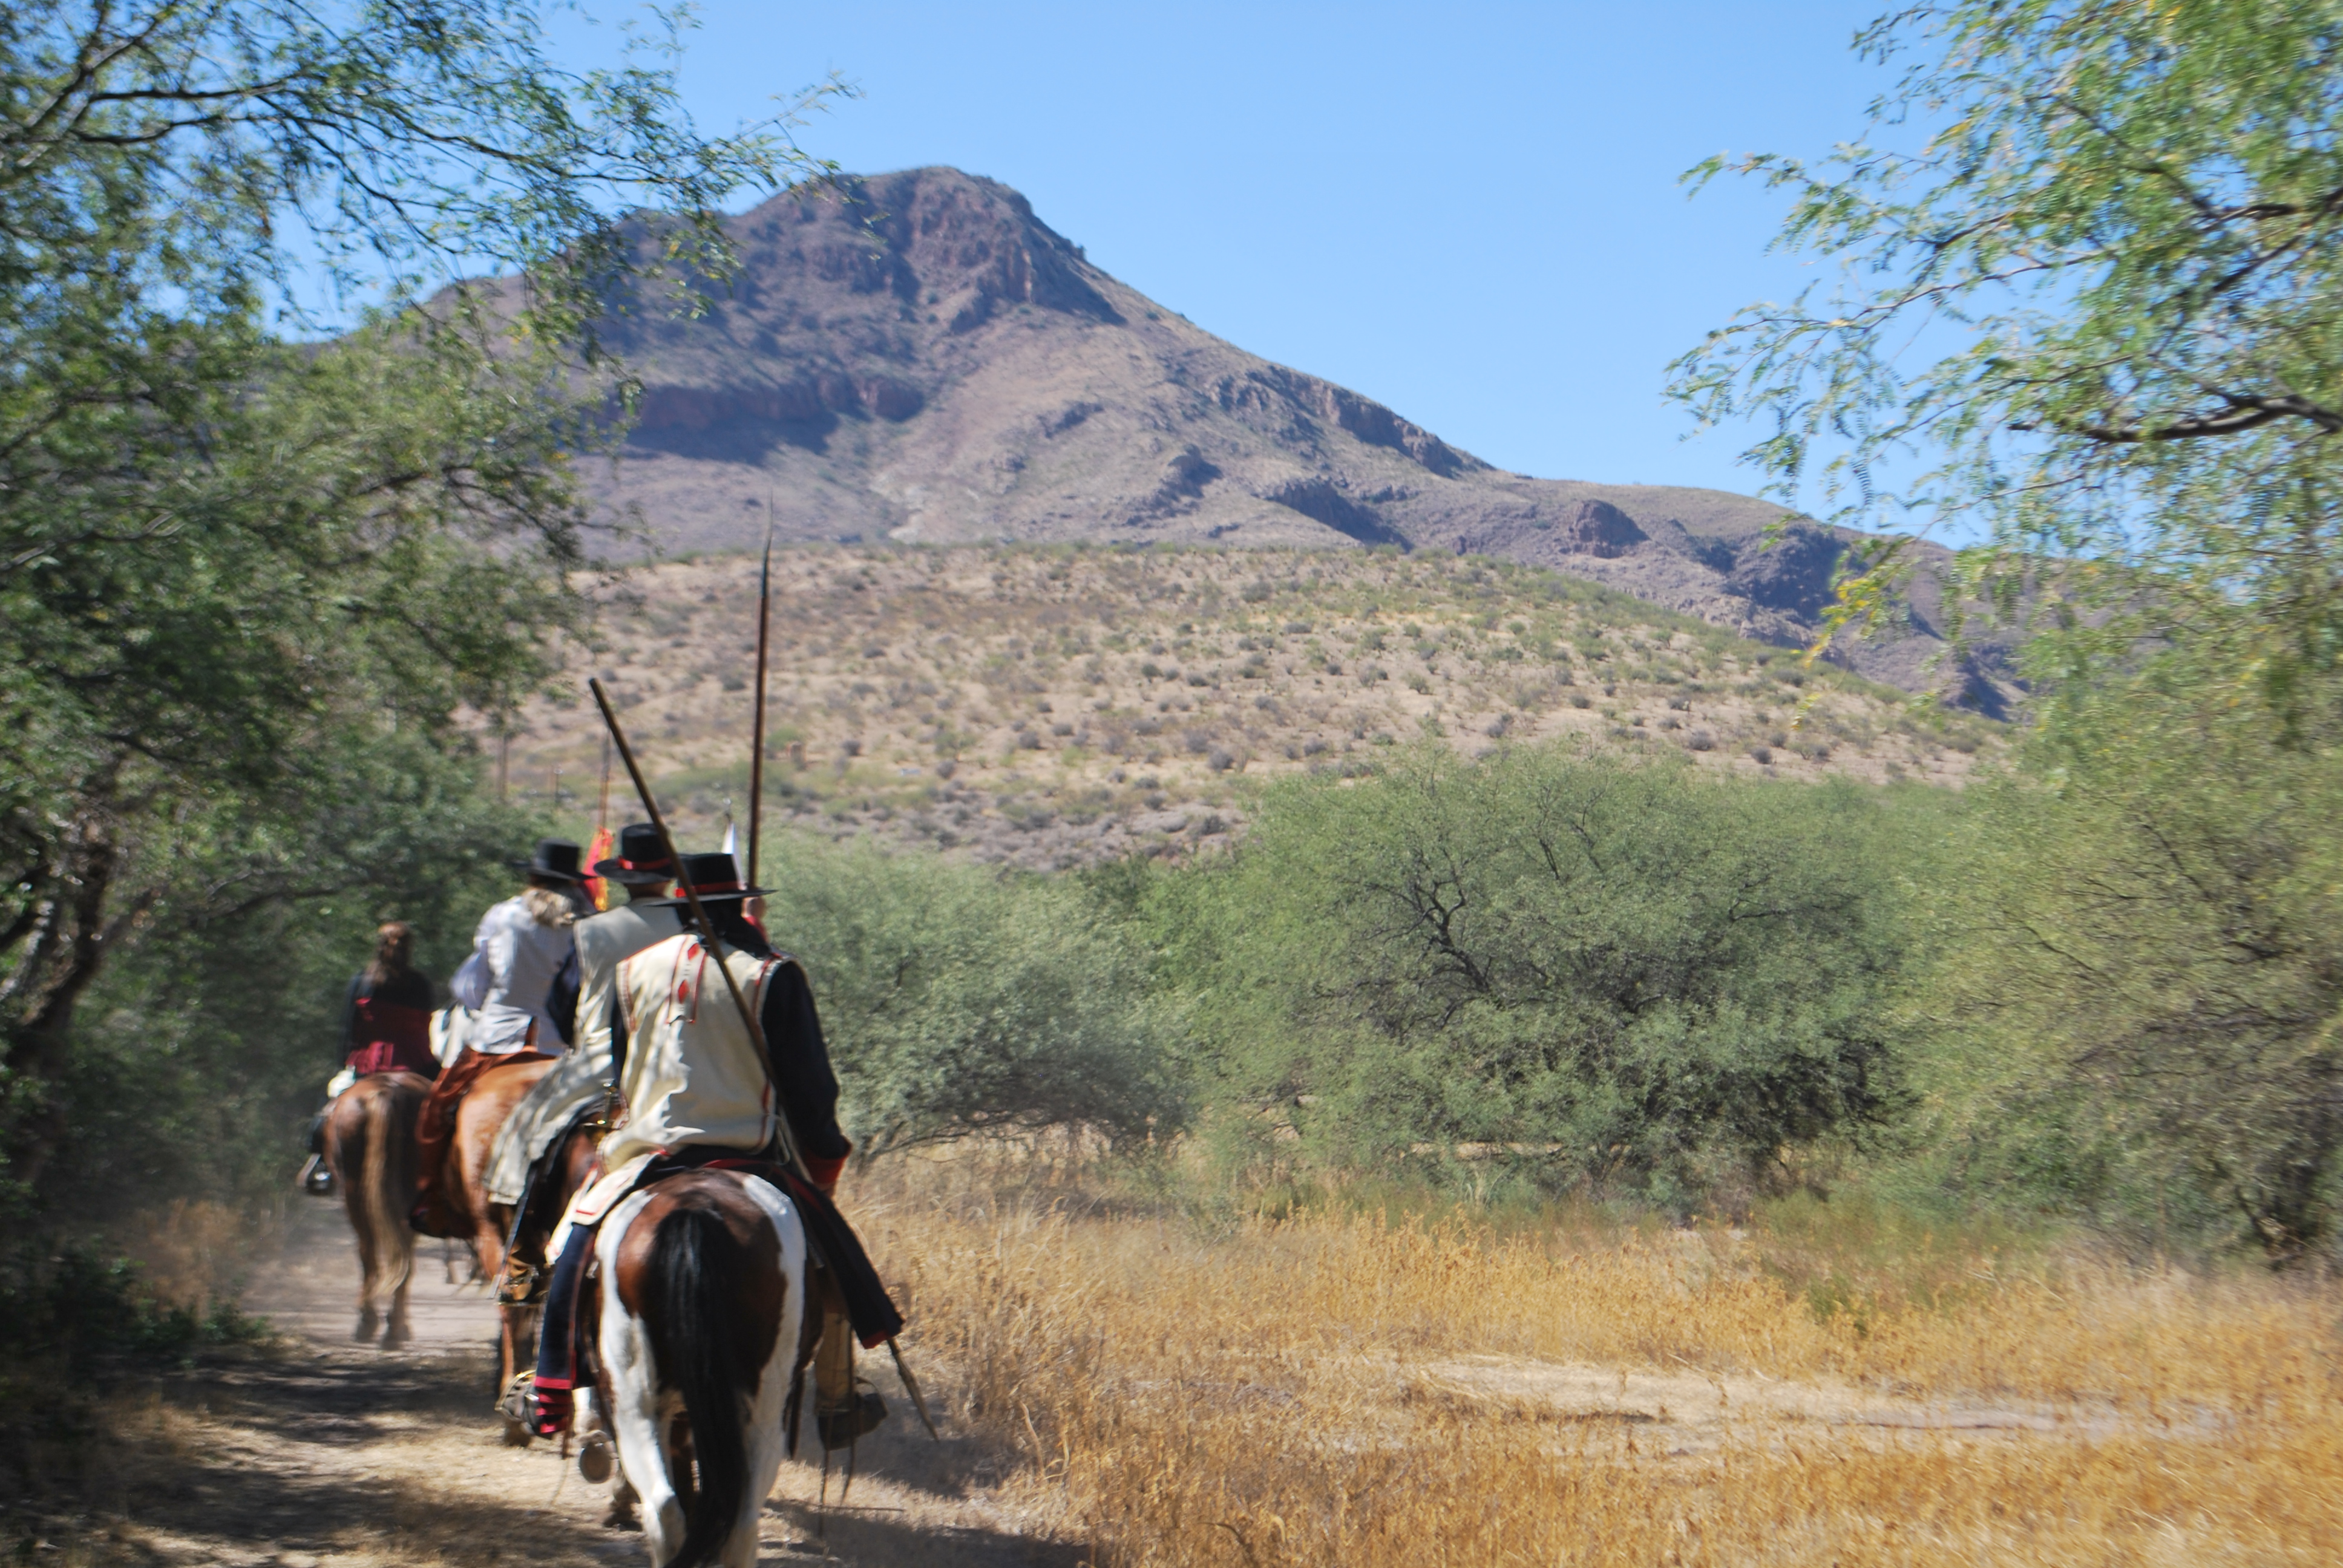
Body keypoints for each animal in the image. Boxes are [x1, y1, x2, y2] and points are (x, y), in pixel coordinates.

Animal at [321, 1068, 431, 1350]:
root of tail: (386, 1092)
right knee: (399, 1253)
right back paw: (393, 1328)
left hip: (353, 1190)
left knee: (369, 1252)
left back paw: (372, 1324)